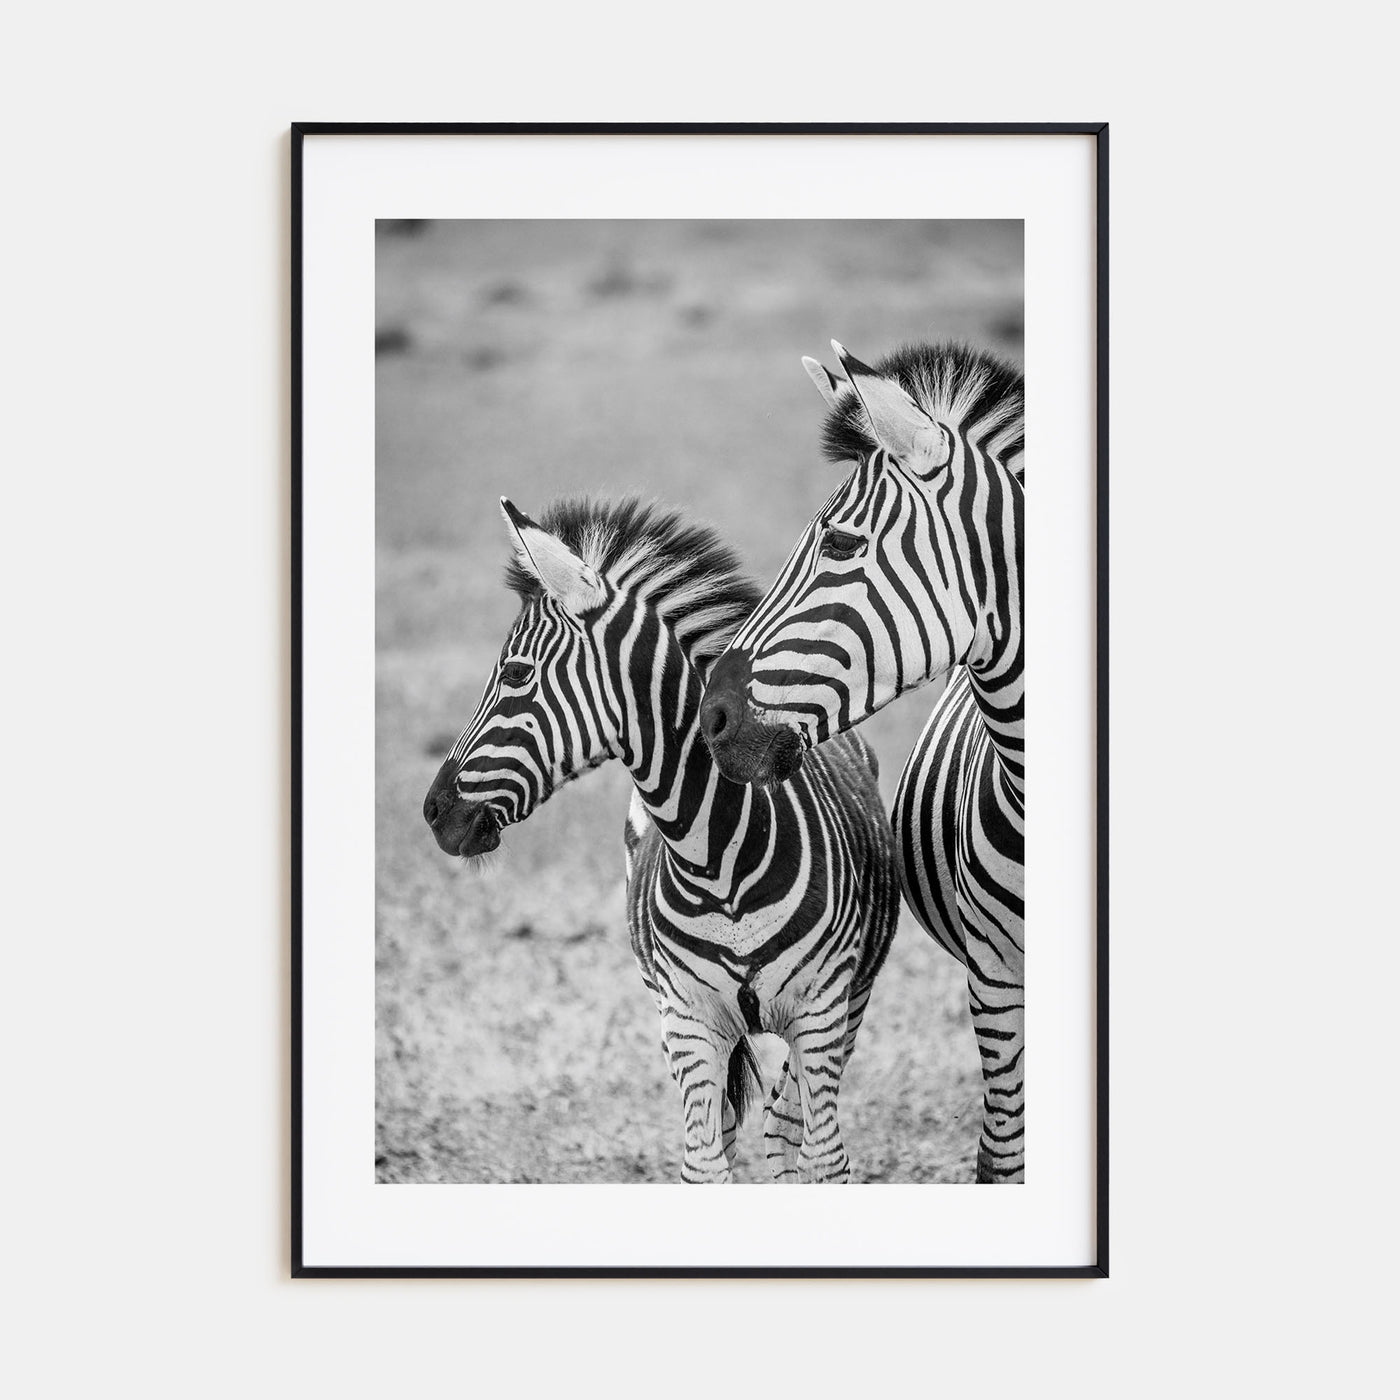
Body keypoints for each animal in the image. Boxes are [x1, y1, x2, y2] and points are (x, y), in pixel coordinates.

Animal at [422, 495, 900, 1183]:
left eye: (515, 673)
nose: (433, 811)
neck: (720, 859)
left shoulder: (822, 1013)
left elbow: (825, 1158)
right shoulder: (688, 1022)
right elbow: (704, 1165)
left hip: (848, 1005)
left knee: (787, 1127)